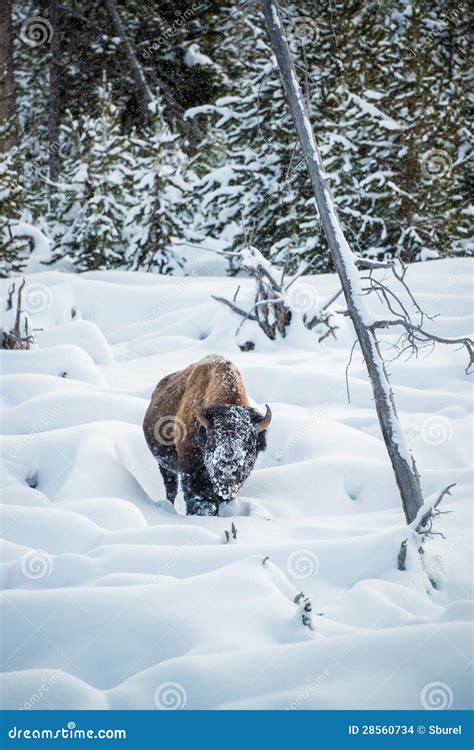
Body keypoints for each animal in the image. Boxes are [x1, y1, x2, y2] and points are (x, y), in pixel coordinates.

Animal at [143, 356, 270, 516]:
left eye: (248, 443)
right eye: (213, 440)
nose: (227, 474)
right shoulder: (190, 471)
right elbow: (198, 496)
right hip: (164, 466)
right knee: (171, 489)